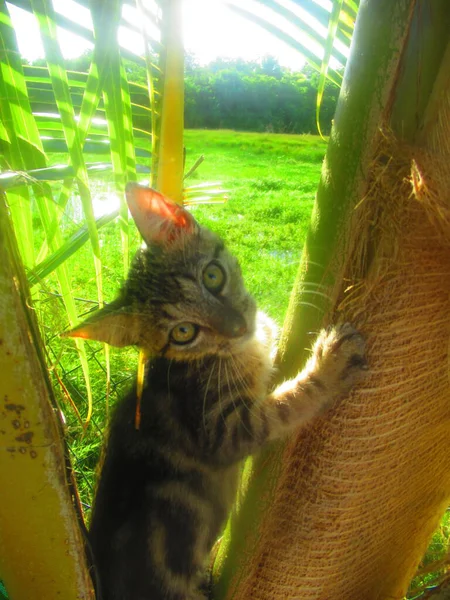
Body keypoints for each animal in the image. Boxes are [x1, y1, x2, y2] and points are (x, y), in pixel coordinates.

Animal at [68, 184, 368, 600]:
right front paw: (329, 366)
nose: (238, 326)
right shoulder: (221, 431)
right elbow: (284, 406)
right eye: (183, 332)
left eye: (213, 276)